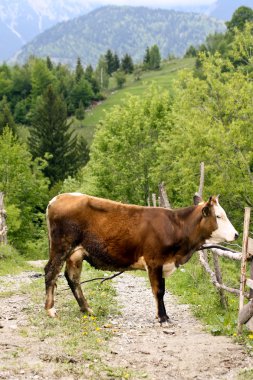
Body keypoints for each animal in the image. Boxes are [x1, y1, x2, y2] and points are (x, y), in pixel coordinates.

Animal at [44, 194, 238, 322]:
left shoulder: (163, 263)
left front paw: (162, 315)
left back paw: (87, 309)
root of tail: (59, 197)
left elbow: (161, 290)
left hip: (75, 253)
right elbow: (158, 291)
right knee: (50, 272)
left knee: (73, 278)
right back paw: (50, 310)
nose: (236, 234)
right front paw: (162, 318)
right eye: (218, 216)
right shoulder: (154, 260)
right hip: (61, 247)